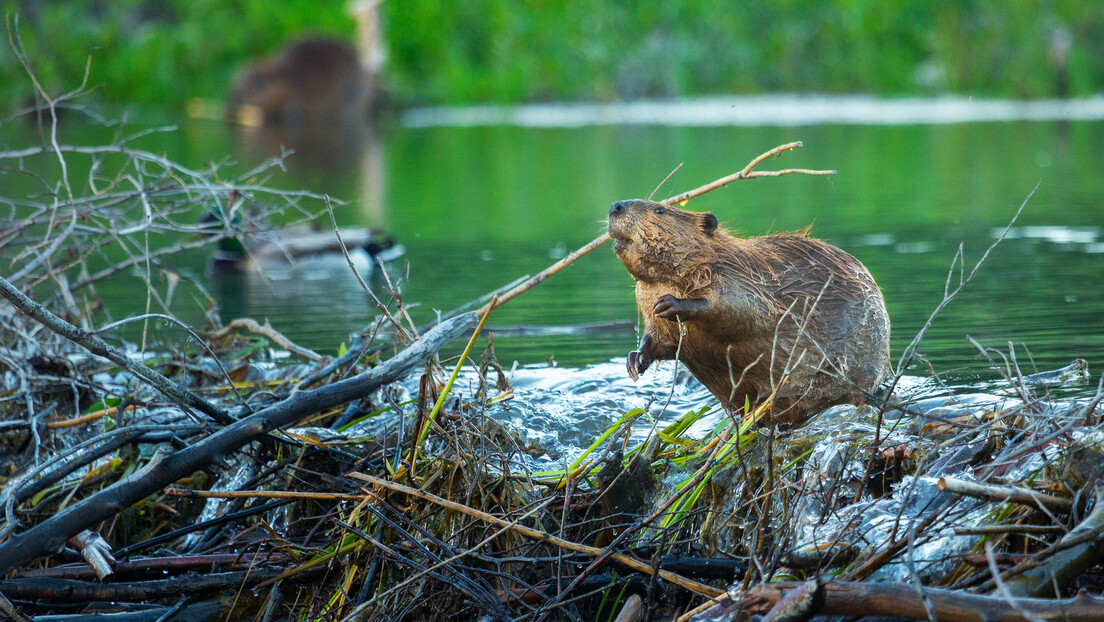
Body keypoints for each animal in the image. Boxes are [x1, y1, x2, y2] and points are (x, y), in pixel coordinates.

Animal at [609, 199, 892, 424]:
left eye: (660, 209)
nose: (616, 206)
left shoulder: (739, 278)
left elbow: (741, 311)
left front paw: (670, 303)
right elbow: (659, 340)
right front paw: (634, 362)